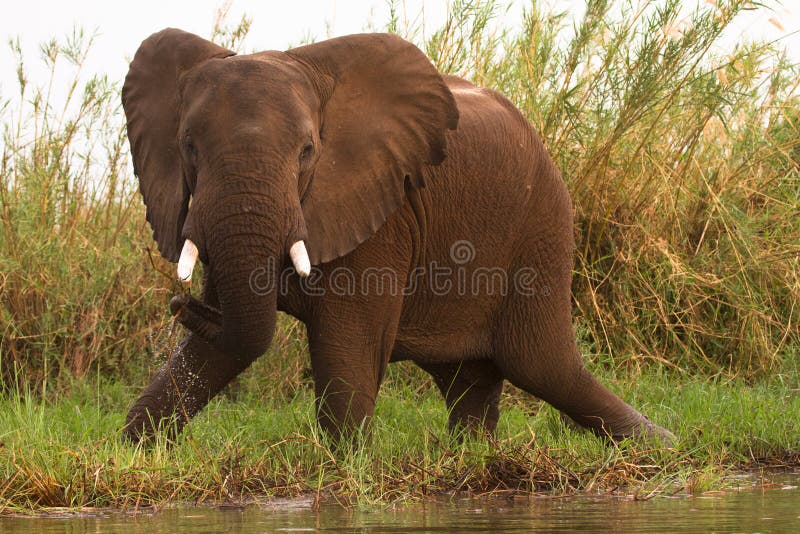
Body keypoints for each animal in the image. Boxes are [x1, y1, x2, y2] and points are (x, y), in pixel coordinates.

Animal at [121, 28, 674, 446]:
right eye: (188, 147)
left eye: (307, 151)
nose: (179, 304)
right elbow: (214, 354)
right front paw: (136, 447)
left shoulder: (384, 214)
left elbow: (345, 352)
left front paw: (343, 468)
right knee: (472, 380)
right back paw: (476, 456)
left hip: (542, 228)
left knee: (545, 367)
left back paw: (660, 447)